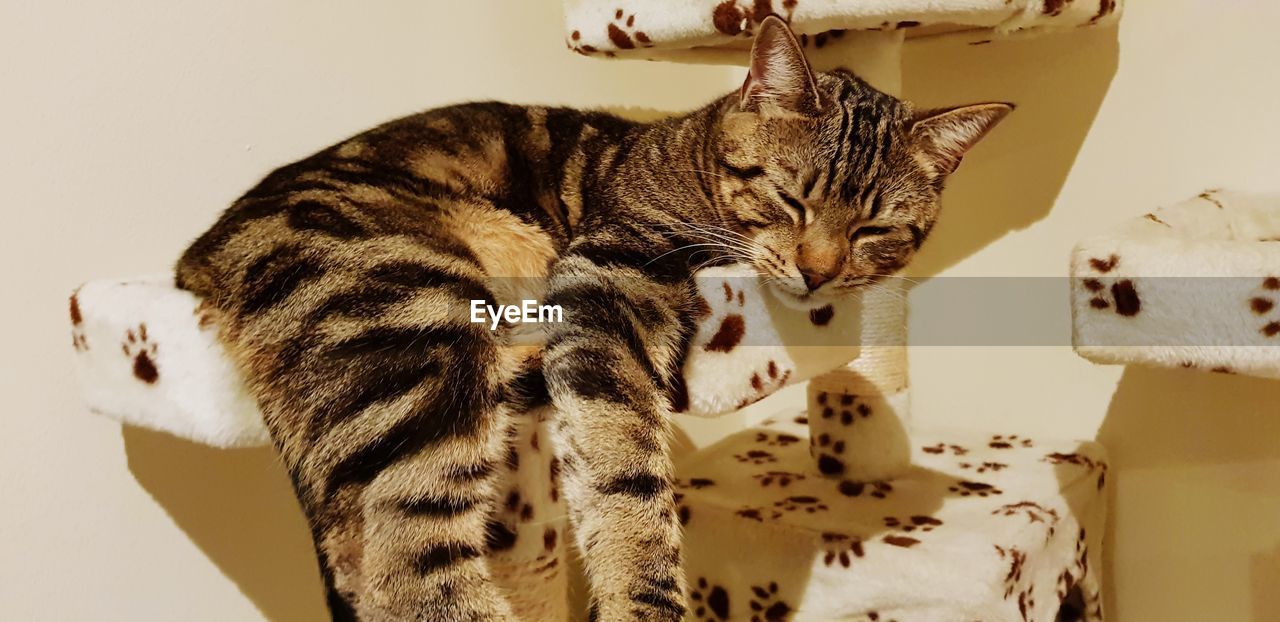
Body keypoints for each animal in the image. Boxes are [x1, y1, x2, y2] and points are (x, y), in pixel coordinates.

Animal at [175, 14, 1008, 622]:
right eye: (789, 197)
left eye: (874, 229)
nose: (819, 272)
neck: (689, 151)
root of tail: (200, 257)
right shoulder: (607, 283)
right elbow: (627, 477)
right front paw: (644, 594)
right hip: (420, 322)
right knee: (409, 571)